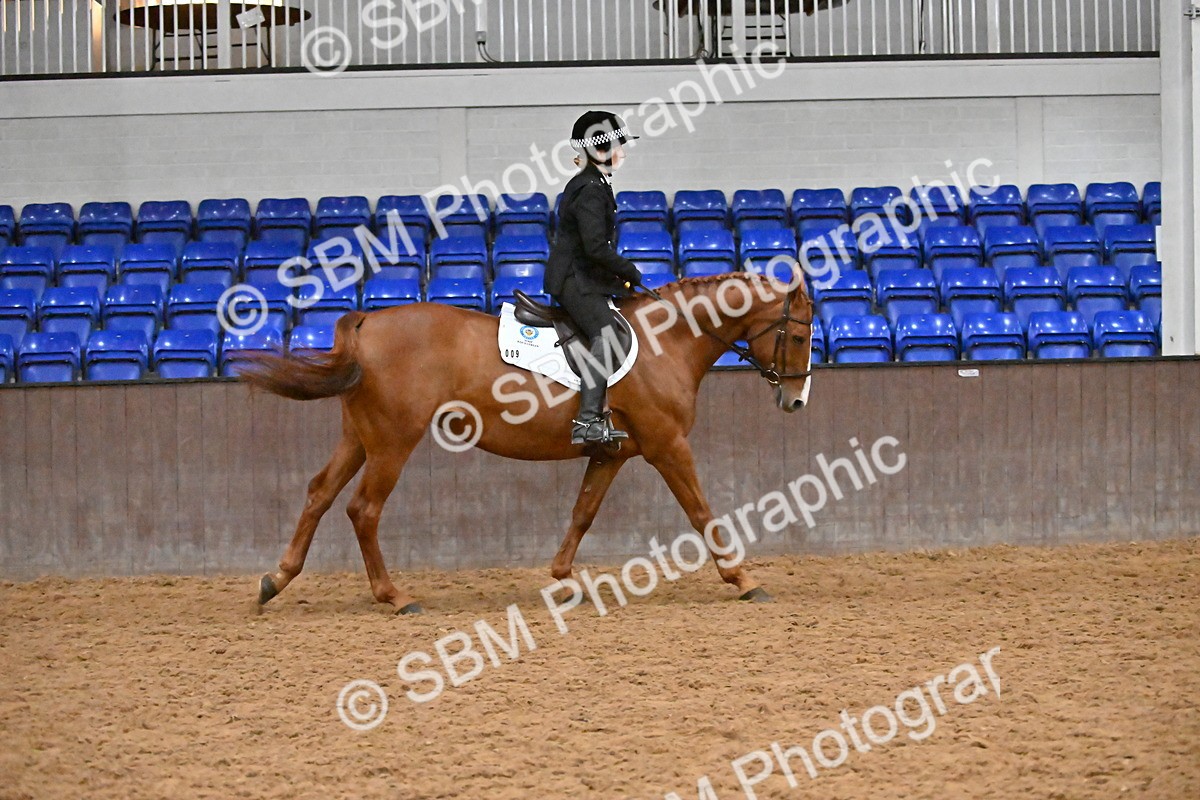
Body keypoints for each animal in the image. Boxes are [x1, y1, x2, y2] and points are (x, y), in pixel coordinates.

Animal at [240, 271, 814, 614]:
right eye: (800, 335)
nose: (796, 402)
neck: (666, 341)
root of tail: (367, 320)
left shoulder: (613, 452)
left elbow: (583, 513)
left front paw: (564, 581)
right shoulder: (667, 446)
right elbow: (701, 512)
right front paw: (742, 579)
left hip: (359, 436)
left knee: (319, 493)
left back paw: (276, 579)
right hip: (392, 440)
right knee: (363, 509)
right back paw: (395, 596)